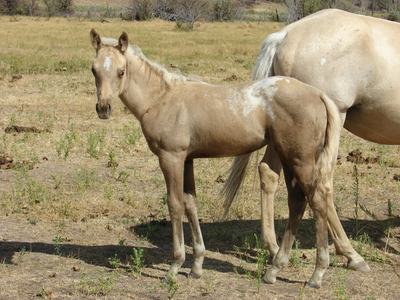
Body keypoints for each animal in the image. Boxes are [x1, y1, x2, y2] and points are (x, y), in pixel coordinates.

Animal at [90, 28, 340, 288]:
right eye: (93, 70)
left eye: (121, 71)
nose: (104, 108)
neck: (160, 99)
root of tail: (318, 94)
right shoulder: (187, 160)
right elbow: (190, 203)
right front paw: (197, 266)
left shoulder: (171, 158)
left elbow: (175, 205)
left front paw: (174, 266)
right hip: (290, 158)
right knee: (297, 203)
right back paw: (274, 269)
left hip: (301, 160)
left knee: (318, 201)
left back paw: (317, 274)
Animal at [225, 8, 400, 276]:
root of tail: (285, 35)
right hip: (330, 121)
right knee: (323, 183)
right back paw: (350, 255)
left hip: (284, 129)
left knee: (269, 172)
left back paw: (274, 249)